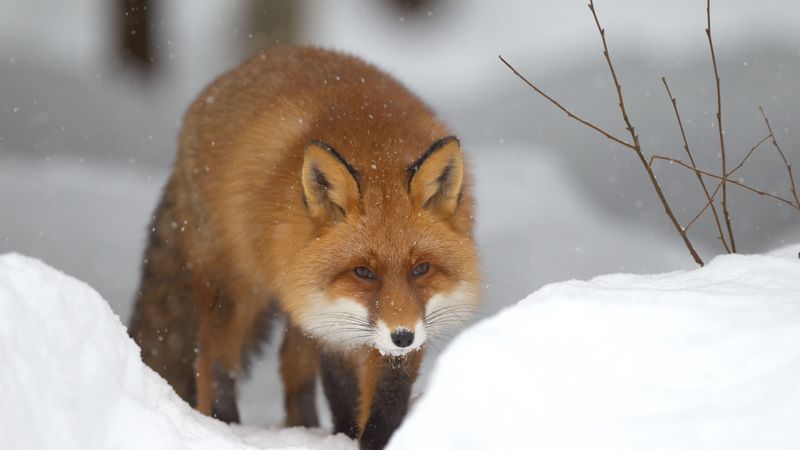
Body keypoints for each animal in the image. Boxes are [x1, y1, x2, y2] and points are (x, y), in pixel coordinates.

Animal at [128, 46, 480, 450]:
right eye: (363, 272)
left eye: (420, 269)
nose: (402, 336)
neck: (375, 146)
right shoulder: (331, 322)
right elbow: (344, 391)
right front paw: (346, 436)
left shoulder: (396, 320)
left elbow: (388, 398)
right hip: (238, 289)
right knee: (212, 360)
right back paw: (225, 425)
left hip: (296, 295)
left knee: (290, 366)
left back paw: (304, 426)